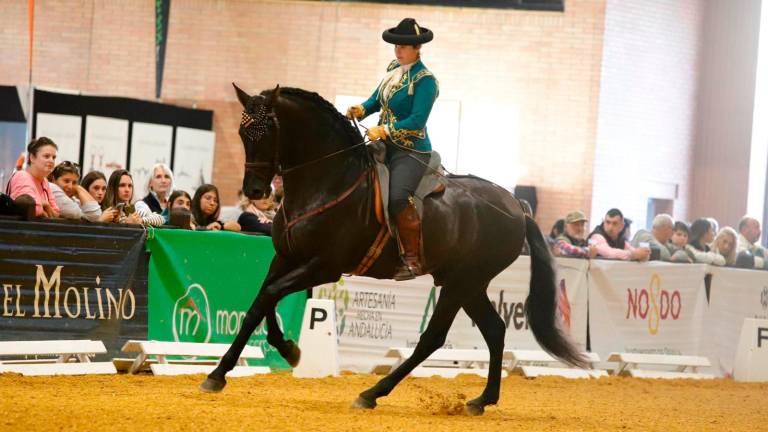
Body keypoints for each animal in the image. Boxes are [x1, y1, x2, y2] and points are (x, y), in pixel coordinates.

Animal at [199, 84, 587, 416]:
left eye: (268, 132)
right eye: (242, 133)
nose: (255, 190)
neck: (327, 181)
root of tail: (517, 207)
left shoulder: (324, 266)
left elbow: (270, 296)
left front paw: (269, 358)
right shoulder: (285, 258)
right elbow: (260, 302)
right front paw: (257, 359)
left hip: (462, 282)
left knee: (433, 338)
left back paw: (371, 393)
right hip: (469, 284)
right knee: (495, 330)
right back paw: (481, 400)